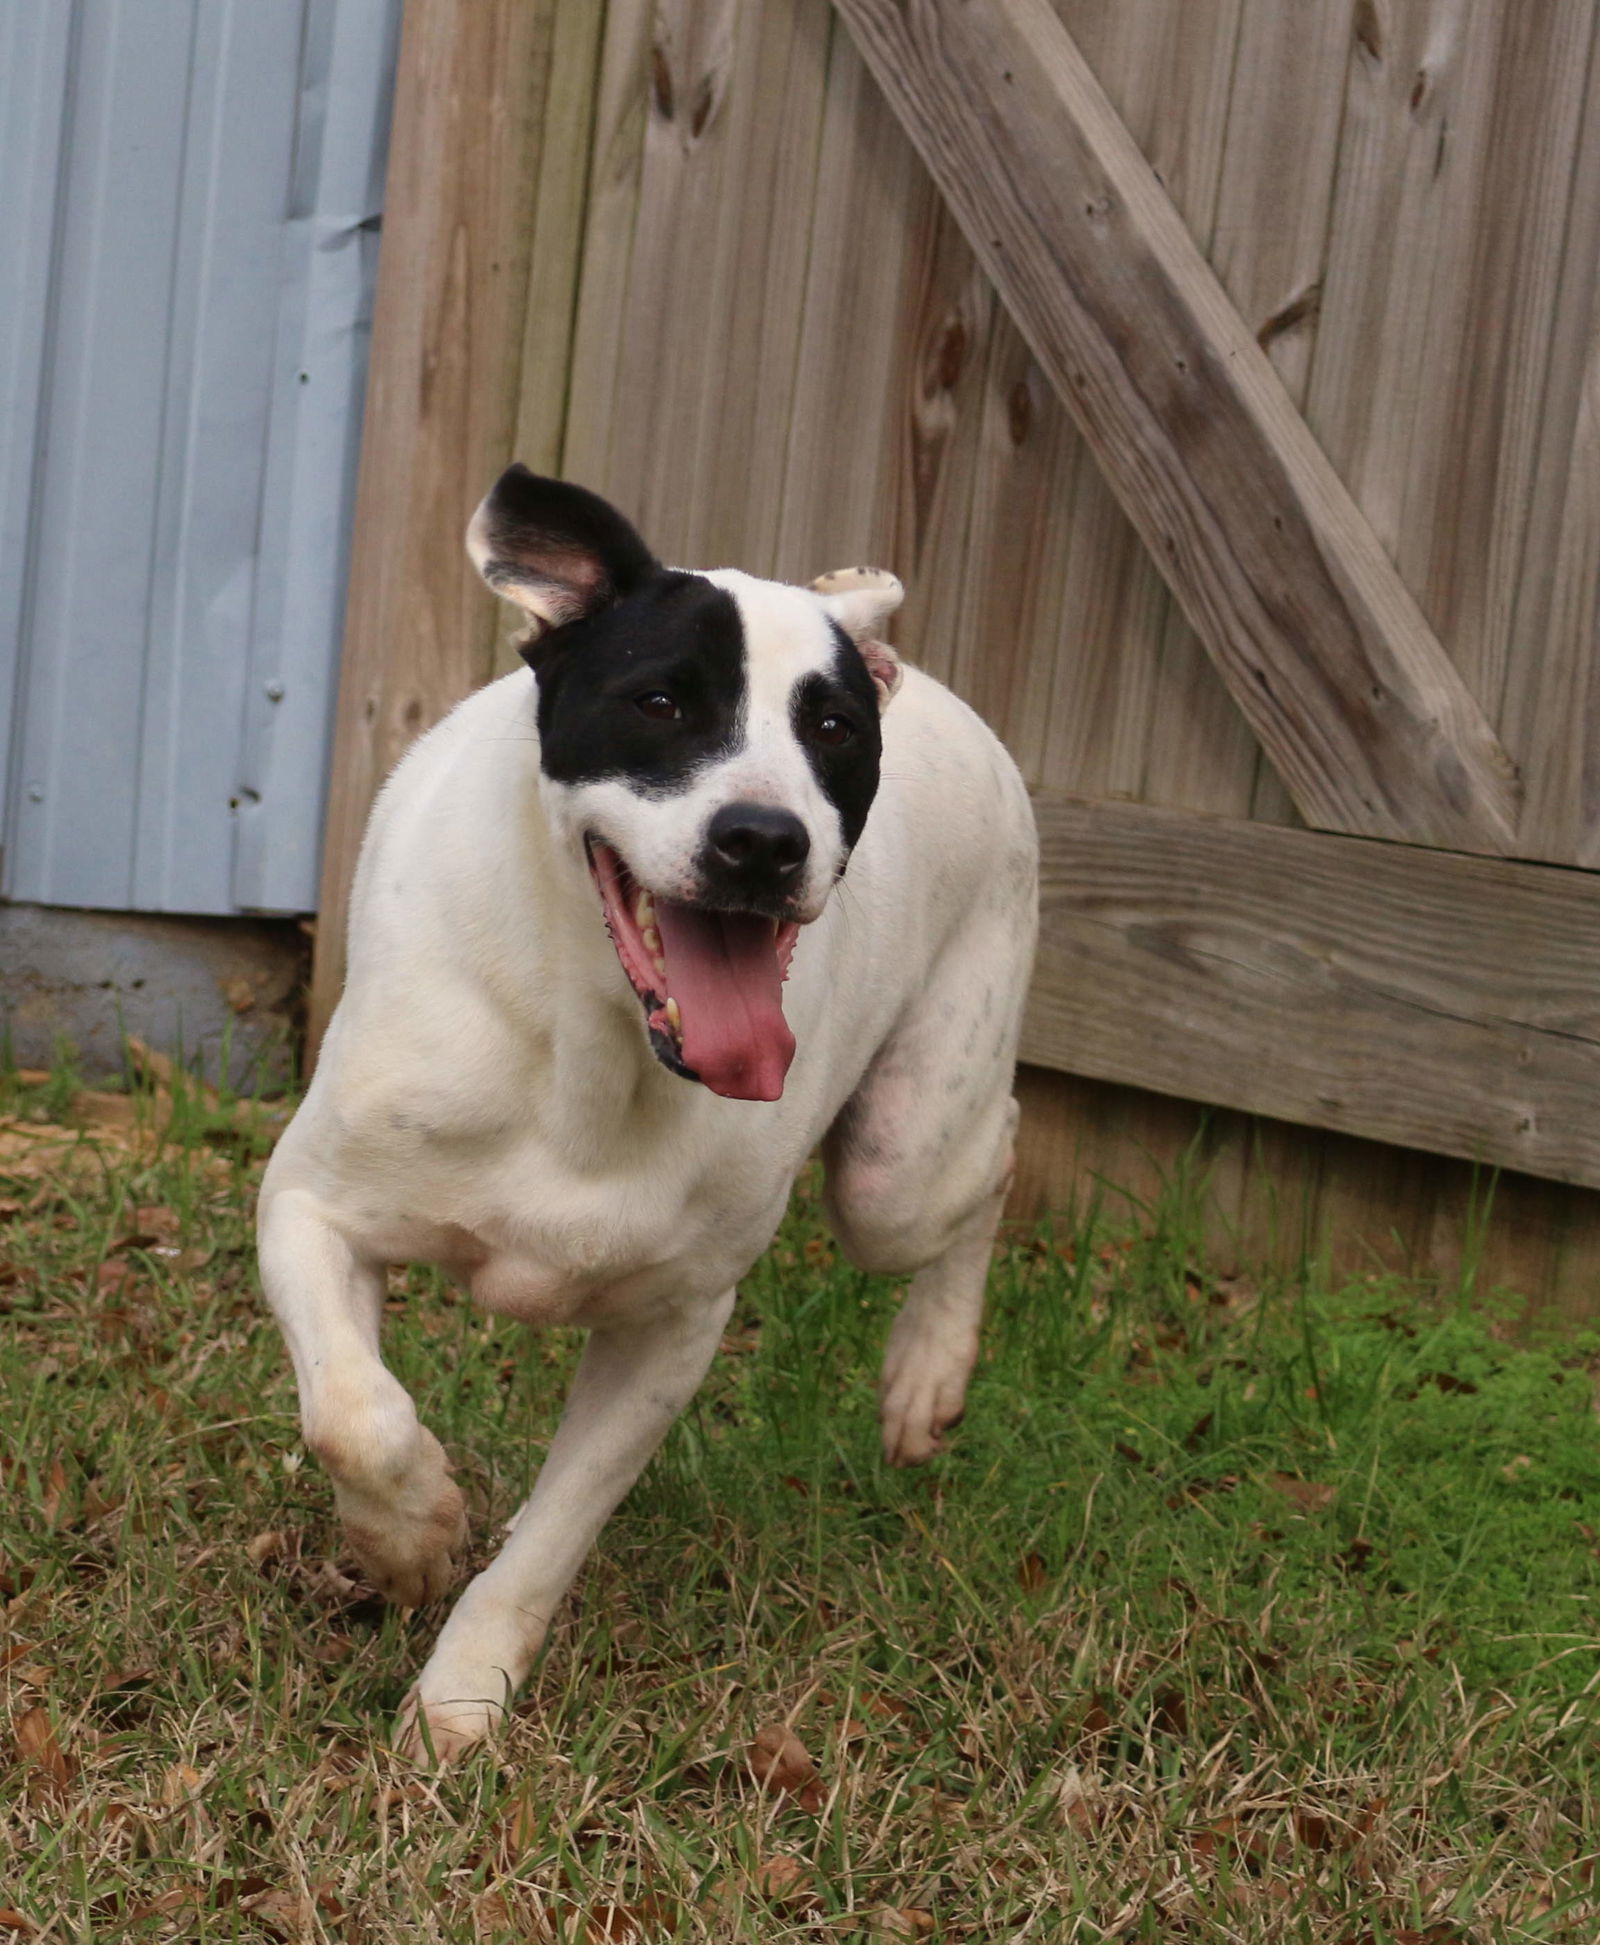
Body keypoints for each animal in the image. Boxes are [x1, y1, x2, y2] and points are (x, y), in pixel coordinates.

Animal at [260, 462, 1042, 1758]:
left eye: (832, 729)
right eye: (661, 700)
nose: (762, 840)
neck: (588, 1048)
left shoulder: (671, 1329)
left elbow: (552, 1534)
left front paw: (465, 1689)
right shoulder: (312, 1207)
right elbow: (354, 1415)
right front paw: (411, 1534)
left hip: (902, 1164)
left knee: (989, 1166)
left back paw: (928, 1373)